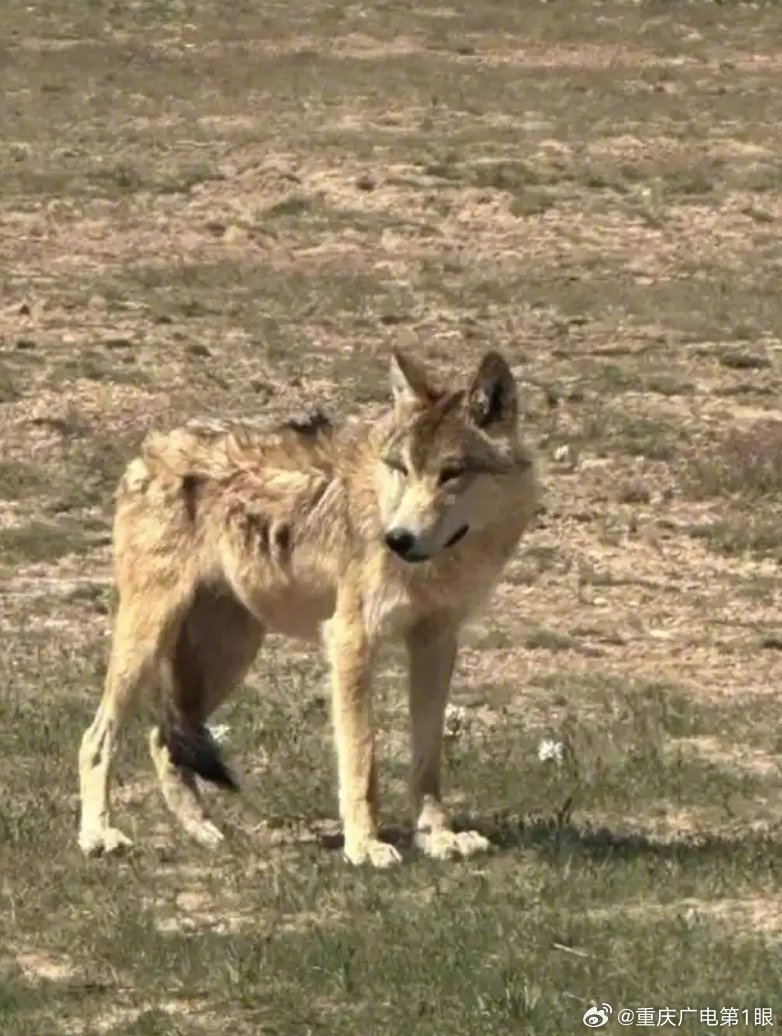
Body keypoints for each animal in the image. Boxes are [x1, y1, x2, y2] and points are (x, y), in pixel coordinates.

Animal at [76, 348, 538, 866]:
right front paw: (365, 845)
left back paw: (203, 832)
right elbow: (361, 758)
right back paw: (98, 835)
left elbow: (427, 757)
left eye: (452, 473)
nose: (397, 539)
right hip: (148, 640)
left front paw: (437, 836)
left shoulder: (437, 642)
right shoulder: (351, 640)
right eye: (402, 468)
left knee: (162, 740)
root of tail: (149, 448)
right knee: (97, 738)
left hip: (228, 656)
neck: (441, 564)